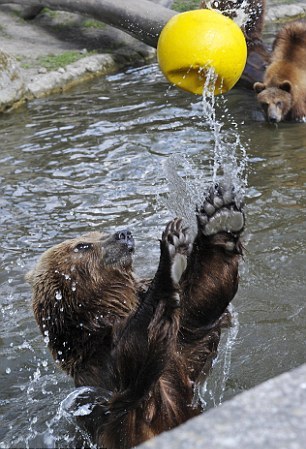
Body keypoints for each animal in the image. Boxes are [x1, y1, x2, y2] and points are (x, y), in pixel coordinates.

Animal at [27, 182, 245, 448]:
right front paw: (168, 263)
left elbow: (202, 301)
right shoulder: (106, 379)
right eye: (82, 245)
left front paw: (219, 214)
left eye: (99, 233)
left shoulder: (182, 348)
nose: (123, 234)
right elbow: (137, 357)